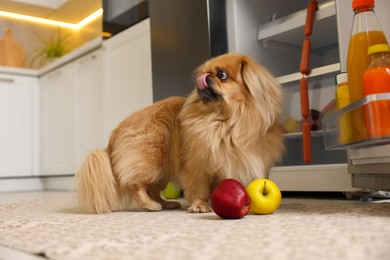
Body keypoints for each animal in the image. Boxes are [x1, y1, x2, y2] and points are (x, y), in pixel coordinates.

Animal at [76, 52, 284, 213]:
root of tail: (116, 133)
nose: (205, 76)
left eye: (222, 74)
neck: (224, 122)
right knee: (136, 185)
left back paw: (166, 204)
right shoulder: (199, 166)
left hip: (160, 171)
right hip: (150, 162)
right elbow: (200, 189)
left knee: (152, 189)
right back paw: (150, 205)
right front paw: (200, 206)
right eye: (203, 73)